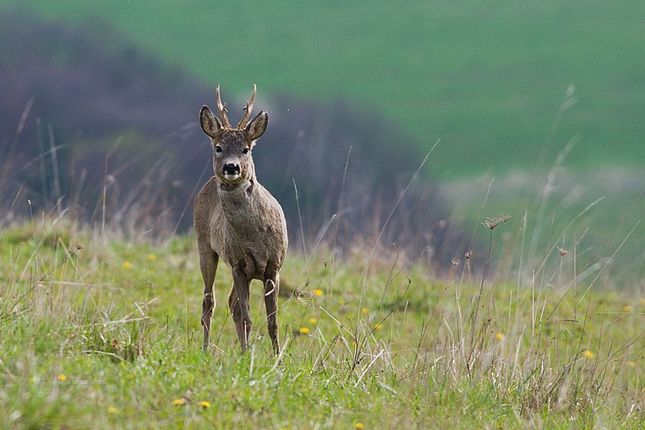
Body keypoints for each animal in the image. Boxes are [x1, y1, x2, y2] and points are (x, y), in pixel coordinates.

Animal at [192, 85, 288, 354]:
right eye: (218, 147)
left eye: (246, 149)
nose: (231, 167)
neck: (256, 241)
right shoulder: (238, 264)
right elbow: (247, 318)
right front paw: (249, 354)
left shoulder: (273, 267)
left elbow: (273, 321)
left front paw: (277, 356)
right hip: (205, 246)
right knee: (209, 301)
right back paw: (206, 349)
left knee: (230, 303)